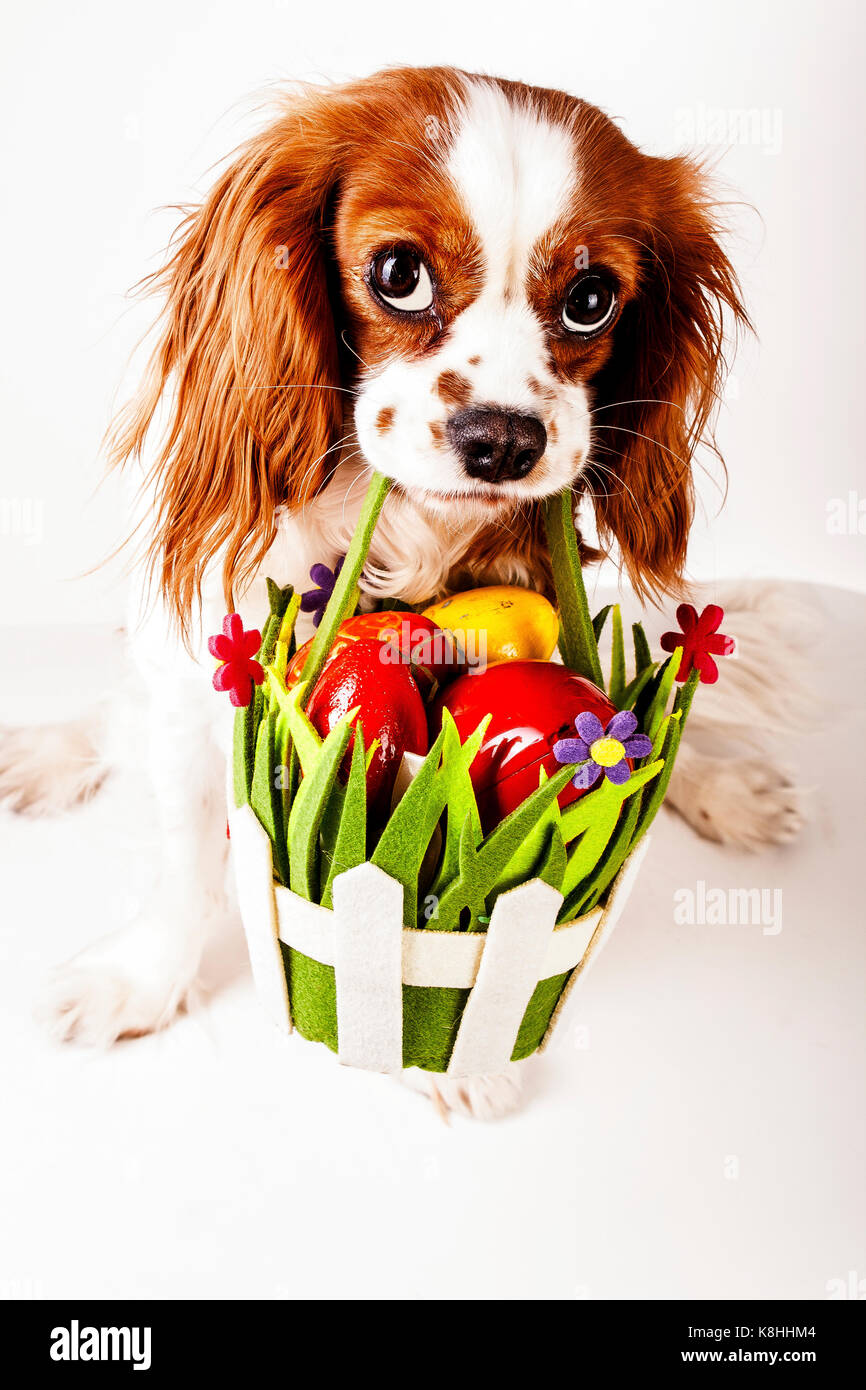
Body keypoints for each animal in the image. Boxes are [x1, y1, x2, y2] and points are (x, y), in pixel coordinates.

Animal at [0, 70, 806, 1123]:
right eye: (398, 274)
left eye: (592, 299)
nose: (502, 439)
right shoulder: (193, 680)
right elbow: (186, 859)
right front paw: (139, 982)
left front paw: (457, 1063)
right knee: (114, 714)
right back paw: (47, 756)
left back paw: (724, 788)